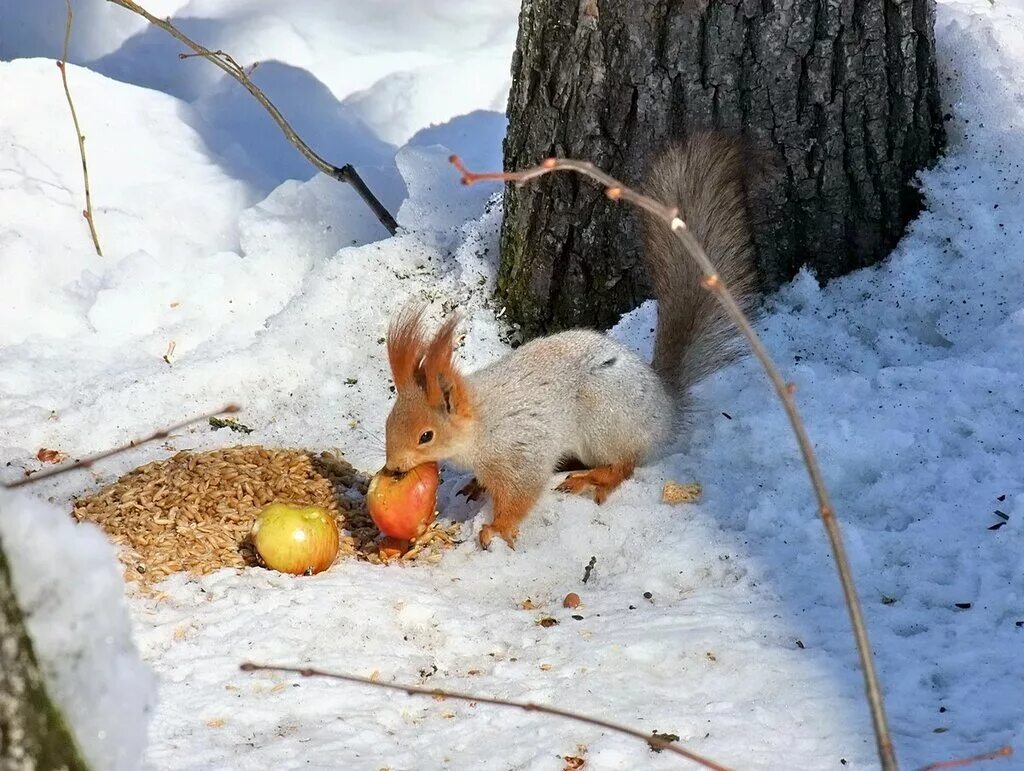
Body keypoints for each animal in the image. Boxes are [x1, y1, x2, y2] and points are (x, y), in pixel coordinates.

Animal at [380, 134, 757, 552]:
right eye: (389, 422)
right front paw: (476, 486)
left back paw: (595, 478)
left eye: (426, 435)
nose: (392, 468)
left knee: (625, 463)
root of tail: (666, 403)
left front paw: (496, 528)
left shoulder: (521, 452)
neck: (482, 422)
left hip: (606, 423)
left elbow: (521, 494)